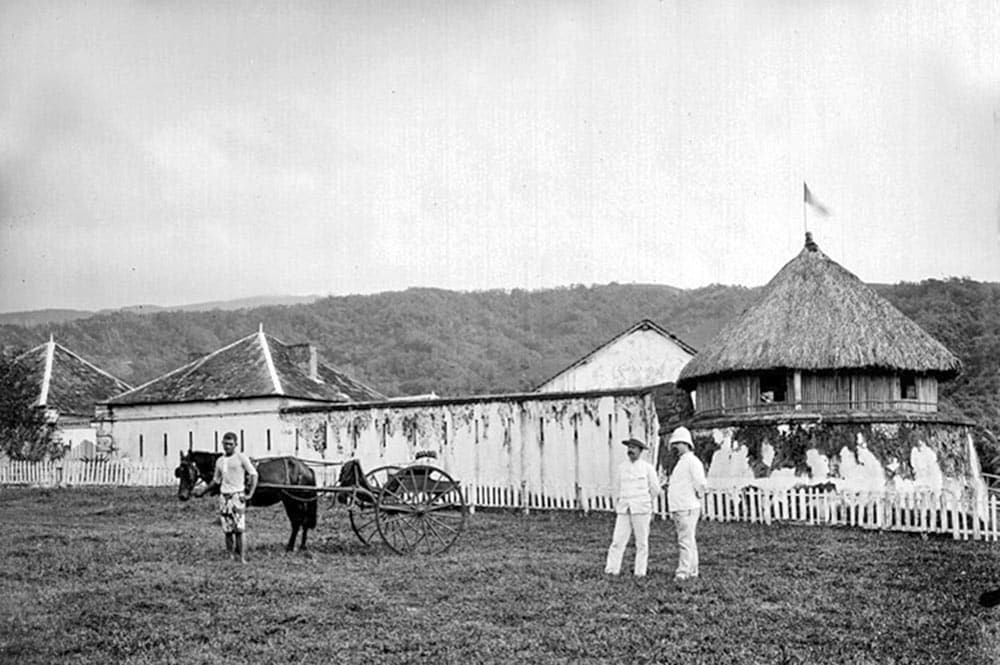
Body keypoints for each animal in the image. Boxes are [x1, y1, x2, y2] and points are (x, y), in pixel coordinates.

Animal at [174, 452, 318, 548]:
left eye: (188, 471)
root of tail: (306, 468)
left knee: (298, 521)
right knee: (304, 521)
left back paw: (291, 546)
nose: (182, 496)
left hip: (292, 500)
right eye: (179, 472)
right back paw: (302, 545)